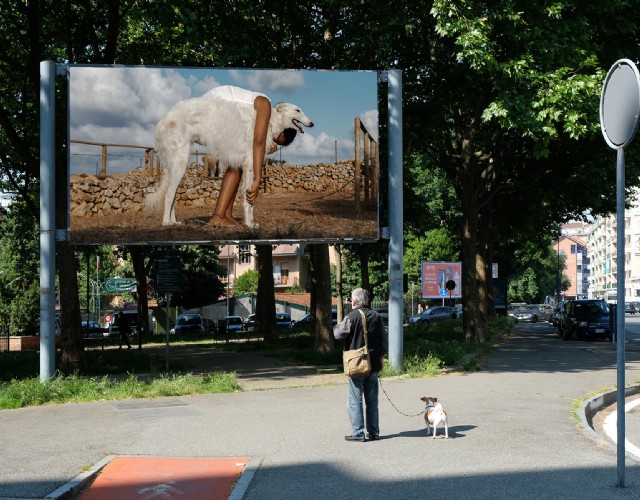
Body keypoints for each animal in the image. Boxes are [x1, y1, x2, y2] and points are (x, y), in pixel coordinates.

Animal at [146, 92, 316, 227]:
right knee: (169, 195)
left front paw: (250, 222)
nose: (312, 123)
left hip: (177, 164)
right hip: (180, 161)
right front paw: (250, 224)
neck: (271, 120)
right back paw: (166, 223)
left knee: (172, 194)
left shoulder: (242, 163)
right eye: (298, 110)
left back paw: (174, 221)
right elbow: (249, 201)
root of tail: (162, 121)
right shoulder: (250, 164)